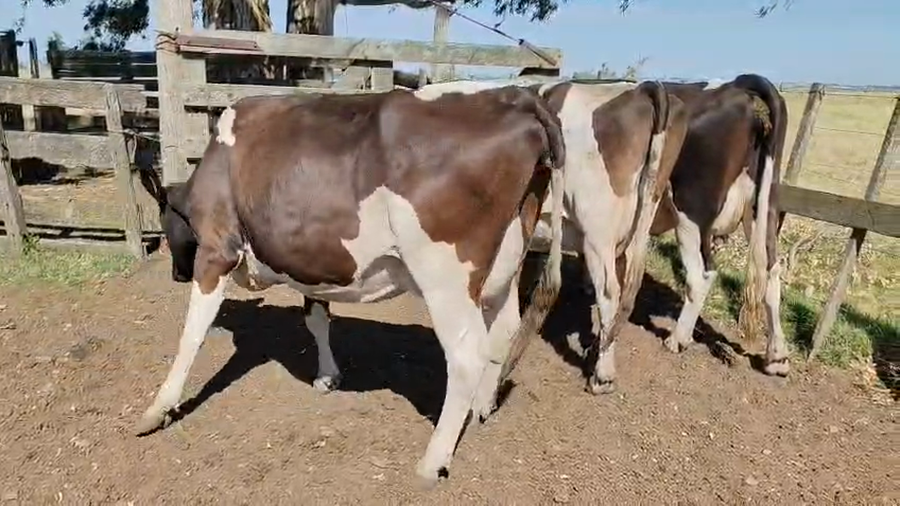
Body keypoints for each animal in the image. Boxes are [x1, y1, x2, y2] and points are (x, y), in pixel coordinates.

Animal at [134, 85, 567, 486]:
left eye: (164, 222)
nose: (176, 274)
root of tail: (515, 95)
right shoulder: (310, 260)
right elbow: (316, 317)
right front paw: (327, 376)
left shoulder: (216, 250)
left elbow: (192, 334)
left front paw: (158, 408)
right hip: (506, 263)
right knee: (503, 333)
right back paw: (481, 409)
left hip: (444, 275)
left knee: (466, 354)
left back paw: (432, 461)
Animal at [647, 74, 791, 376]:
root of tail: (736, 86)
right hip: (762, 207)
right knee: (771, 271)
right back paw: (777, 357)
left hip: (691, 207)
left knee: (701, 273)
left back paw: (678, 339)